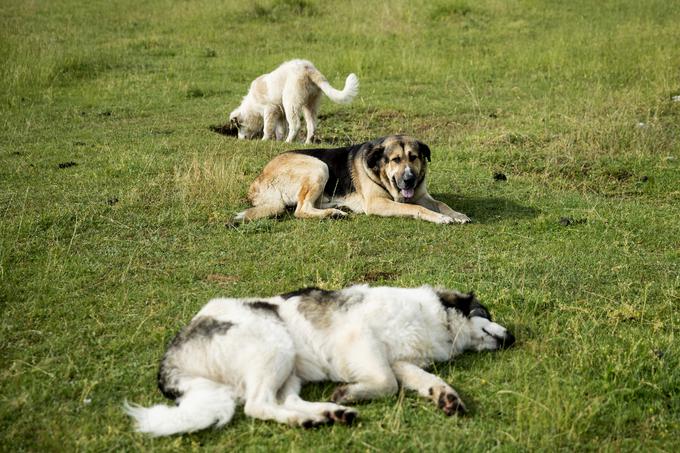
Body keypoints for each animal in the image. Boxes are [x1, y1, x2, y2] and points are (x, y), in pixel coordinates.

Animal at [125, 284, 512, 436]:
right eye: (485, 312)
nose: (513, 338)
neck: (438, 323)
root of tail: (171, 359)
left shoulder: (401, 361)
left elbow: (428, 381)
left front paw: (447, 398)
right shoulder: (361, 338)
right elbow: (386, 384)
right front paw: (350, 391)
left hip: (290, 368)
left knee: (285, 400)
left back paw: (327, 414)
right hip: (276, 345)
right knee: (257, 405)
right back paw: (314, 417)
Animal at [228, 58, 358, 143]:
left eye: (238, 126)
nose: (240, 140)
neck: (251, 105)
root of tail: (308, 69)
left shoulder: (270, 109)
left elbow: (267, 128)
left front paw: (265, 140)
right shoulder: (280, 114)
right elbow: (280, 130)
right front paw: (278, 142)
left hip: (291, 103)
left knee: (296, 124)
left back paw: (288, 142)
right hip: (310, 105)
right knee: (312, 125)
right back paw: (307, 143)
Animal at [236, 136, 470, 224]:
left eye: (414, 157)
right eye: (395, 160)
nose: (409, 180)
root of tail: (257, 181)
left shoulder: (422, 195)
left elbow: (441, 203)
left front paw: (457, 214)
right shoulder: (377, 203)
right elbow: (416, 208)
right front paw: (441, 218)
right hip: (318, 167)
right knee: (301, 210)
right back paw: (334, 213)